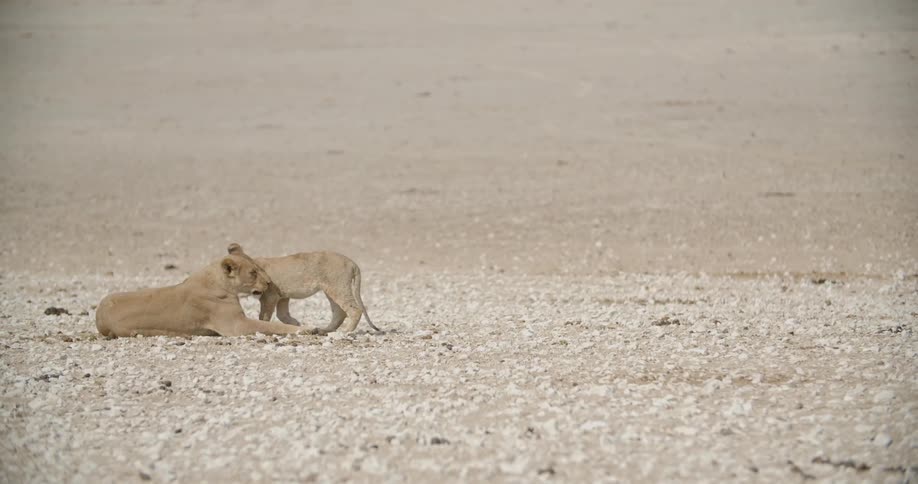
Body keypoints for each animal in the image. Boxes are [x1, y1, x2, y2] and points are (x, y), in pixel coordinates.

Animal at [95, 252, 306, 338]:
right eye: (253, 272)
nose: (269, 282)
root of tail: (99, 319)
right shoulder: (236, 325)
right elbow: (271, 325)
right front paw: (304, 329)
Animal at [227, 243, 380, 334]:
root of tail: (351, 262)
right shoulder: (282, 296)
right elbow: (282, 315)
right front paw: (297, 325)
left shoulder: (269, 296)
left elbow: (263, 317)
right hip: (331, 289)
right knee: (339, 312)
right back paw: (325, 330)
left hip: (338, 285)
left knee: (354, 309)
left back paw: (346, 331)